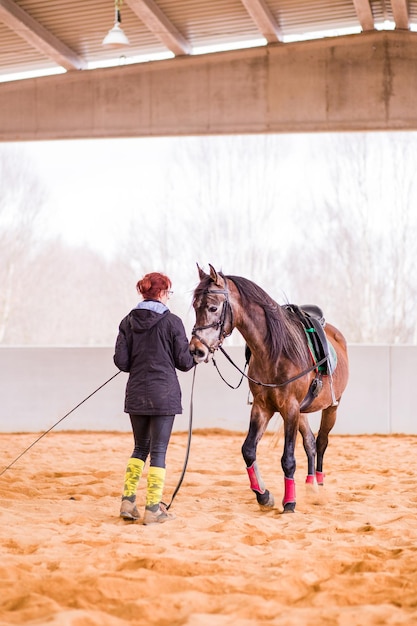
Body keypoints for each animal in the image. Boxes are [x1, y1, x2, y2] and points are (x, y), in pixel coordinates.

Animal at [188, 264, 348, 512]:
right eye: (195, 307)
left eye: (213, 307)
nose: (197, 350)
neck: (275, 351)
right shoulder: (262, 407)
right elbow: (248, 450)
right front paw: (264, 495)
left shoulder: (289, 408)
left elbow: (288, 459)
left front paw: (289, 502)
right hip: (302, 411)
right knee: (311, 443)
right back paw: (310, 486)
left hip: (332, 407)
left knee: (321, 442)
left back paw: (319, 486)